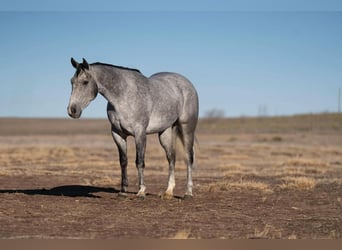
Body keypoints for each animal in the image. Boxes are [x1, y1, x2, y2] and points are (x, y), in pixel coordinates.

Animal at [67, 58, 199, 199]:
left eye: (85, 82)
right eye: (71, 81)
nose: (72, 110)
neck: (123, 96)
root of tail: (186, 83)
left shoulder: (140, 133)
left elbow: (140, 161)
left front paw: (141, 191)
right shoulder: (117, 134)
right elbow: (123, 161)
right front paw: (123, 191)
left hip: (187, 128)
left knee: (189, 157)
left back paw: (188, 192)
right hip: (165, 132)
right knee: (171, 158)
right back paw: (168, 191)